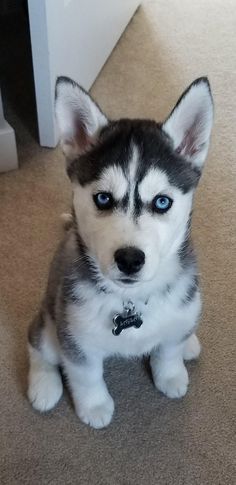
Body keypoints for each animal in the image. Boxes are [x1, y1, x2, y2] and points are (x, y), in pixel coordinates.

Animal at [27, 75, 214, 428]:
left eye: (162, 202)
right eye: (102, 198)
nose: (129, 259)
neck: (131, 301)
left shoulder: (178, 312)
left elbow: (168, 350)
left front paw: (171, 375)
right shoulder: (75, 336)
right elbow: (86, 375)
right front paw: (94, 406)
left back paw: (190, 344)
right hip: (50, 319)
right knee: (37, 344)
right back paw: (43, 386)